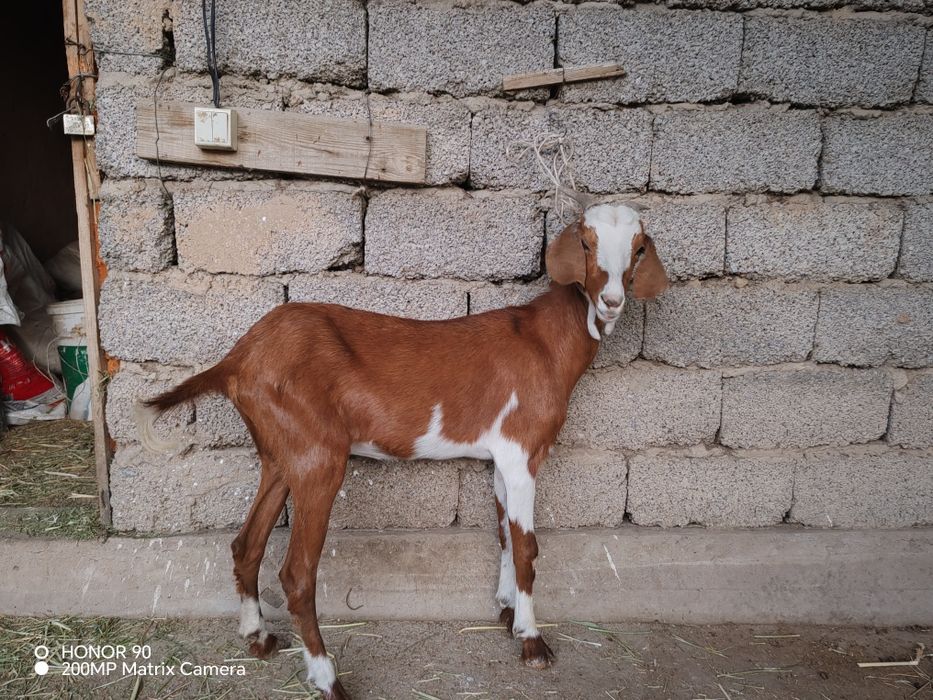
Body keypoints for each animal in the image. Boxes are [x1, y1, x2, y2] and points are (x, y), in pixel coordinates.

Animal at [136, 203, 668, 699]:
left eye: (639, 248)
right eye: (585, 243)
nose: (612, 299)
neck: (544, 342)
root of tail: (236, 359)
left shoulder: (501, 457)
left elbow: (503, 535)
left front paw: (506, 611)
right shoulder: (523, 451)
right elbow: (527, 546)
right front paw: (533, 640)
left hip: (279, 452)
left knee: (247, 544)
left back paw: (258, 637)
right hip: (317, 457)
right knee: (296, 574)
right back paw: (328, 678)